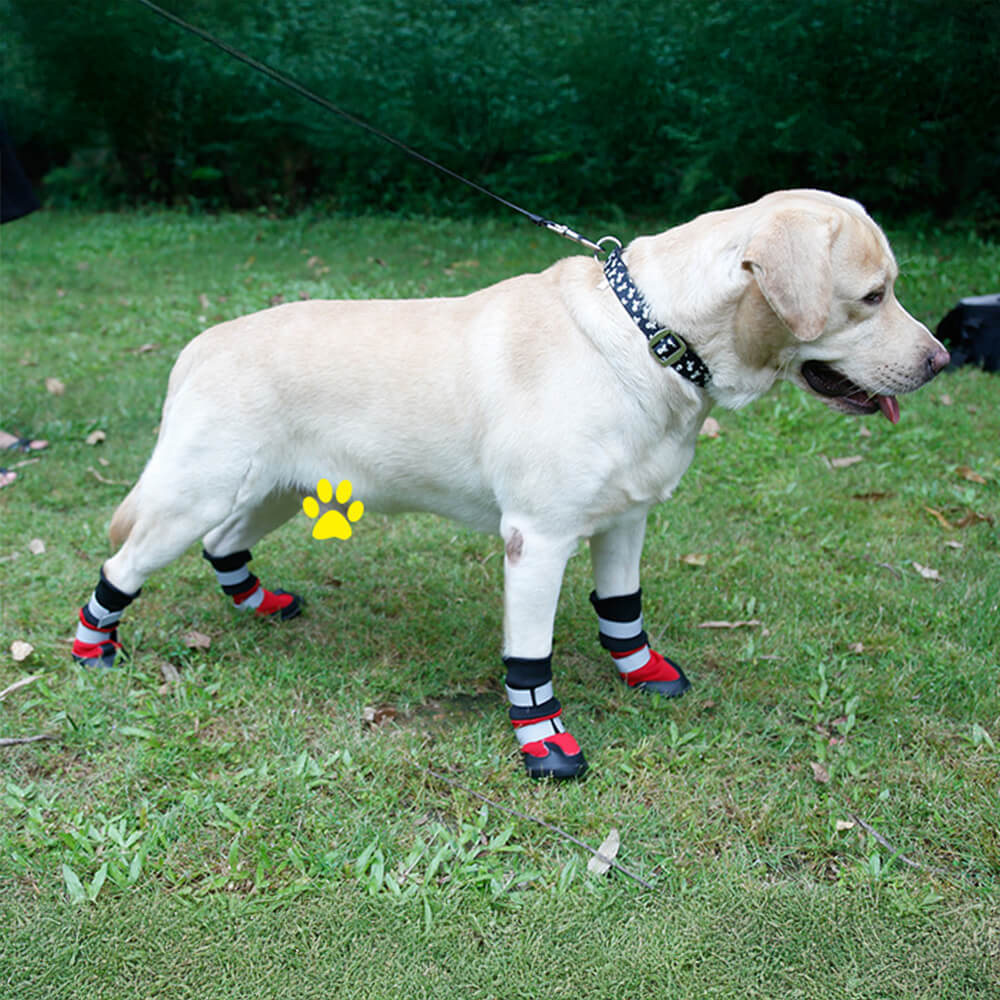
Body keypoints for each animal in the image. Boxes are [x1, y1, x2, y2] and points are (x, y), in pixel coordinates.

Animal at [74, 189, 948, 780]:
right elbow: (529, 662)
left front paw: (643, 672)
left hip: (277, 492)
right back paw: (94, 650)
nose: (942, 360)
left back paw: (257, 602)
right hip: (196, 493)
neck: (655, 339)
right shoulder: (539, 536)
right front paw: (546, 742)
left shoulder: (626, 519)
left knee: (224, 543)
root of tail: (201, 342)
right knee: (121, 565)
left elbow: (622, 612)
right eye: (873, 296)